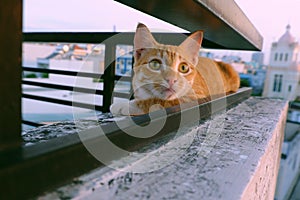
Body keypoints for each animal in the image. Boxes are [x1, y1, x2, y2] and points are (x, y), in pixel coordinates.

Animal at [110, 23, 239, 115]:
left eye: (183, 67)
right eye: (155, 64)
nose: (171, 80)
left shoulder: (196, 98)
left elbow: (158, 102)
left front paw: (126, 105)